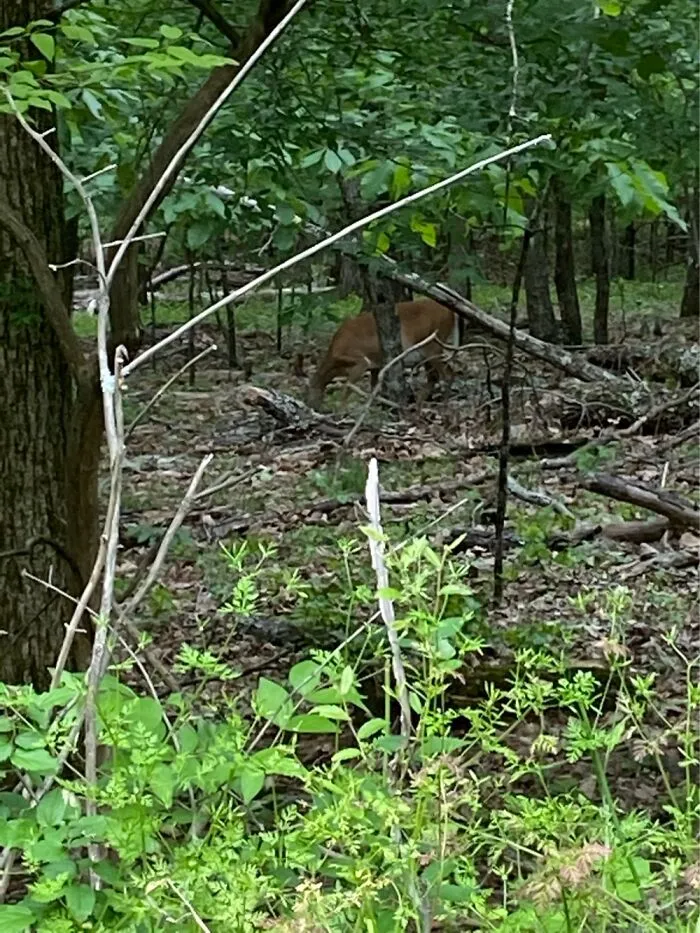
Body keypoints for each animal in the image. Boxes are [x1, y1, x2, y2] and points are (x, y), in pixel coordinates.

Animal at [307, 297, 456, 409]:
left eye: (306, 393)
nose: (311, 406)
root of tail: (450, 312)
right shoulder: (375, 365)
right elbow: (374, 389)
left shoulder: (361, 362)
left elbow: (348, 388)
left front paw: (341, 410)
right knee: (435, 376)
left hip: (433, 344)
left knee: (447, 373)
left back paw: (445, 406)